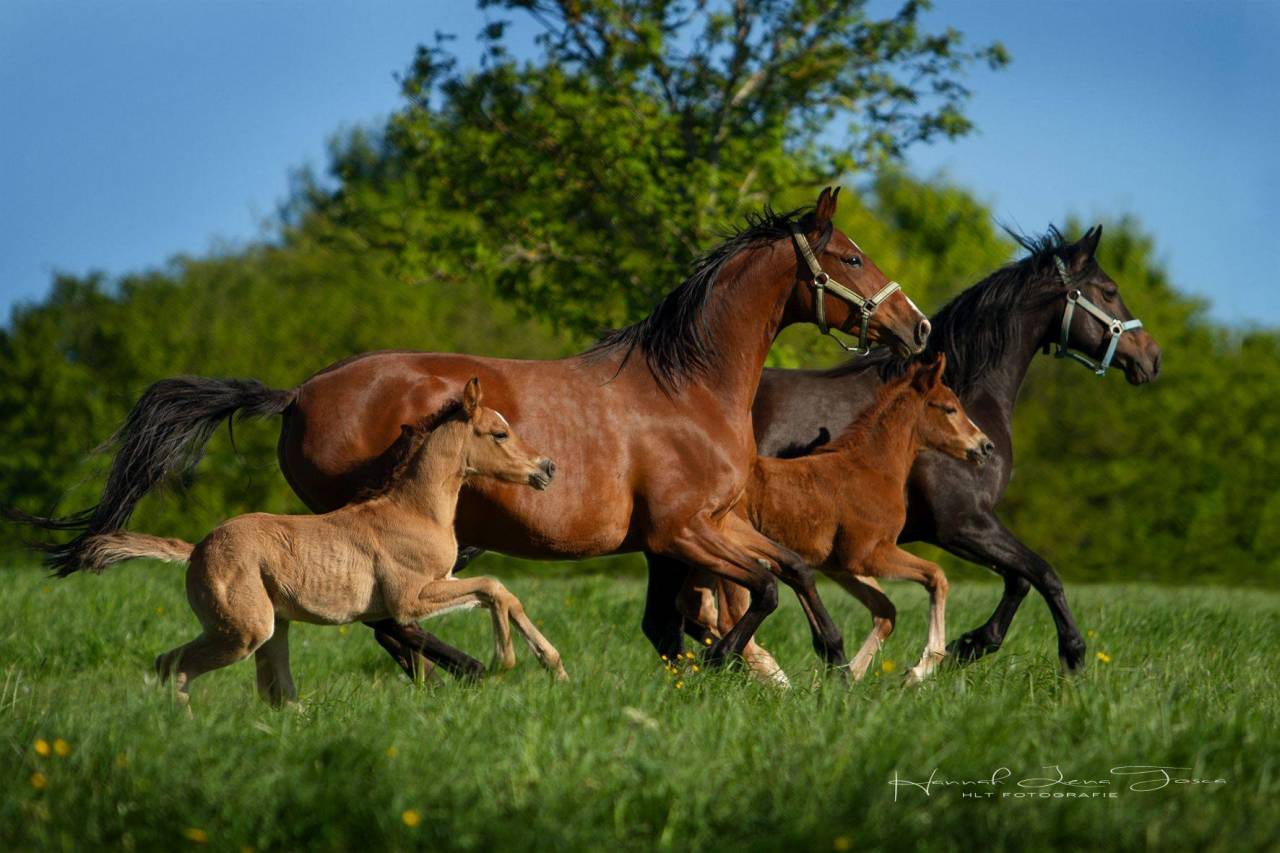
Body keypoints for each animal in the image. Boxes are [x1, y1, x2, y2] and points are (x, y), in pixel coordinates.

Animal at [76, 378, 568, 704]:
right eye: (499, 433)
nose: (546, 468)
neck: (413, 510)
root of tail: (196, 549)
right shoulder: (409, 600)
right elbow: (492, 587)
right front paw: (504, 661)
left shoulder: (439, 583)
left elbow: (502, 594)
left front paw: (555, 666)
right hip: (244, 630)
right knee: (174, 665)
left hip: (272, 630)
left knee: (274, 694)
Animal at [678, 354, 991, 685]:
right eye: (950, 408)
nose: (985, 446)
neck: (872, 468)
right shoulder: (869, 555)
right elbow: (936, 576)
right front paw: (921, 668)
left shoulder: (841, 566)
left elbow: (886, 610)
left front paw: (849, 675)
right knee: (728, 613)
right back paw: (773, 678)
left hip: (708, 558)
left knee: (695, 605)